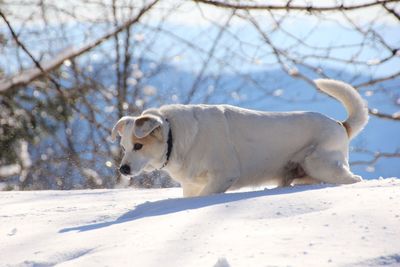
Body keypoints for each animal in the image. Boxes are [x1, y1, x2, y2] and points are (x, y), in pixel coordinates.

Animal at [110, 78, 368, 198]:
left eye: (138, 145)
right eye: (124, 146)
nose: (123, 169)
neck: (175, 135)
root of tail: (339, 124)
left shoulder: (224, 175)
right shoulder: (191, 185)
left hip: (319, 163)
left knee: (354, 179)